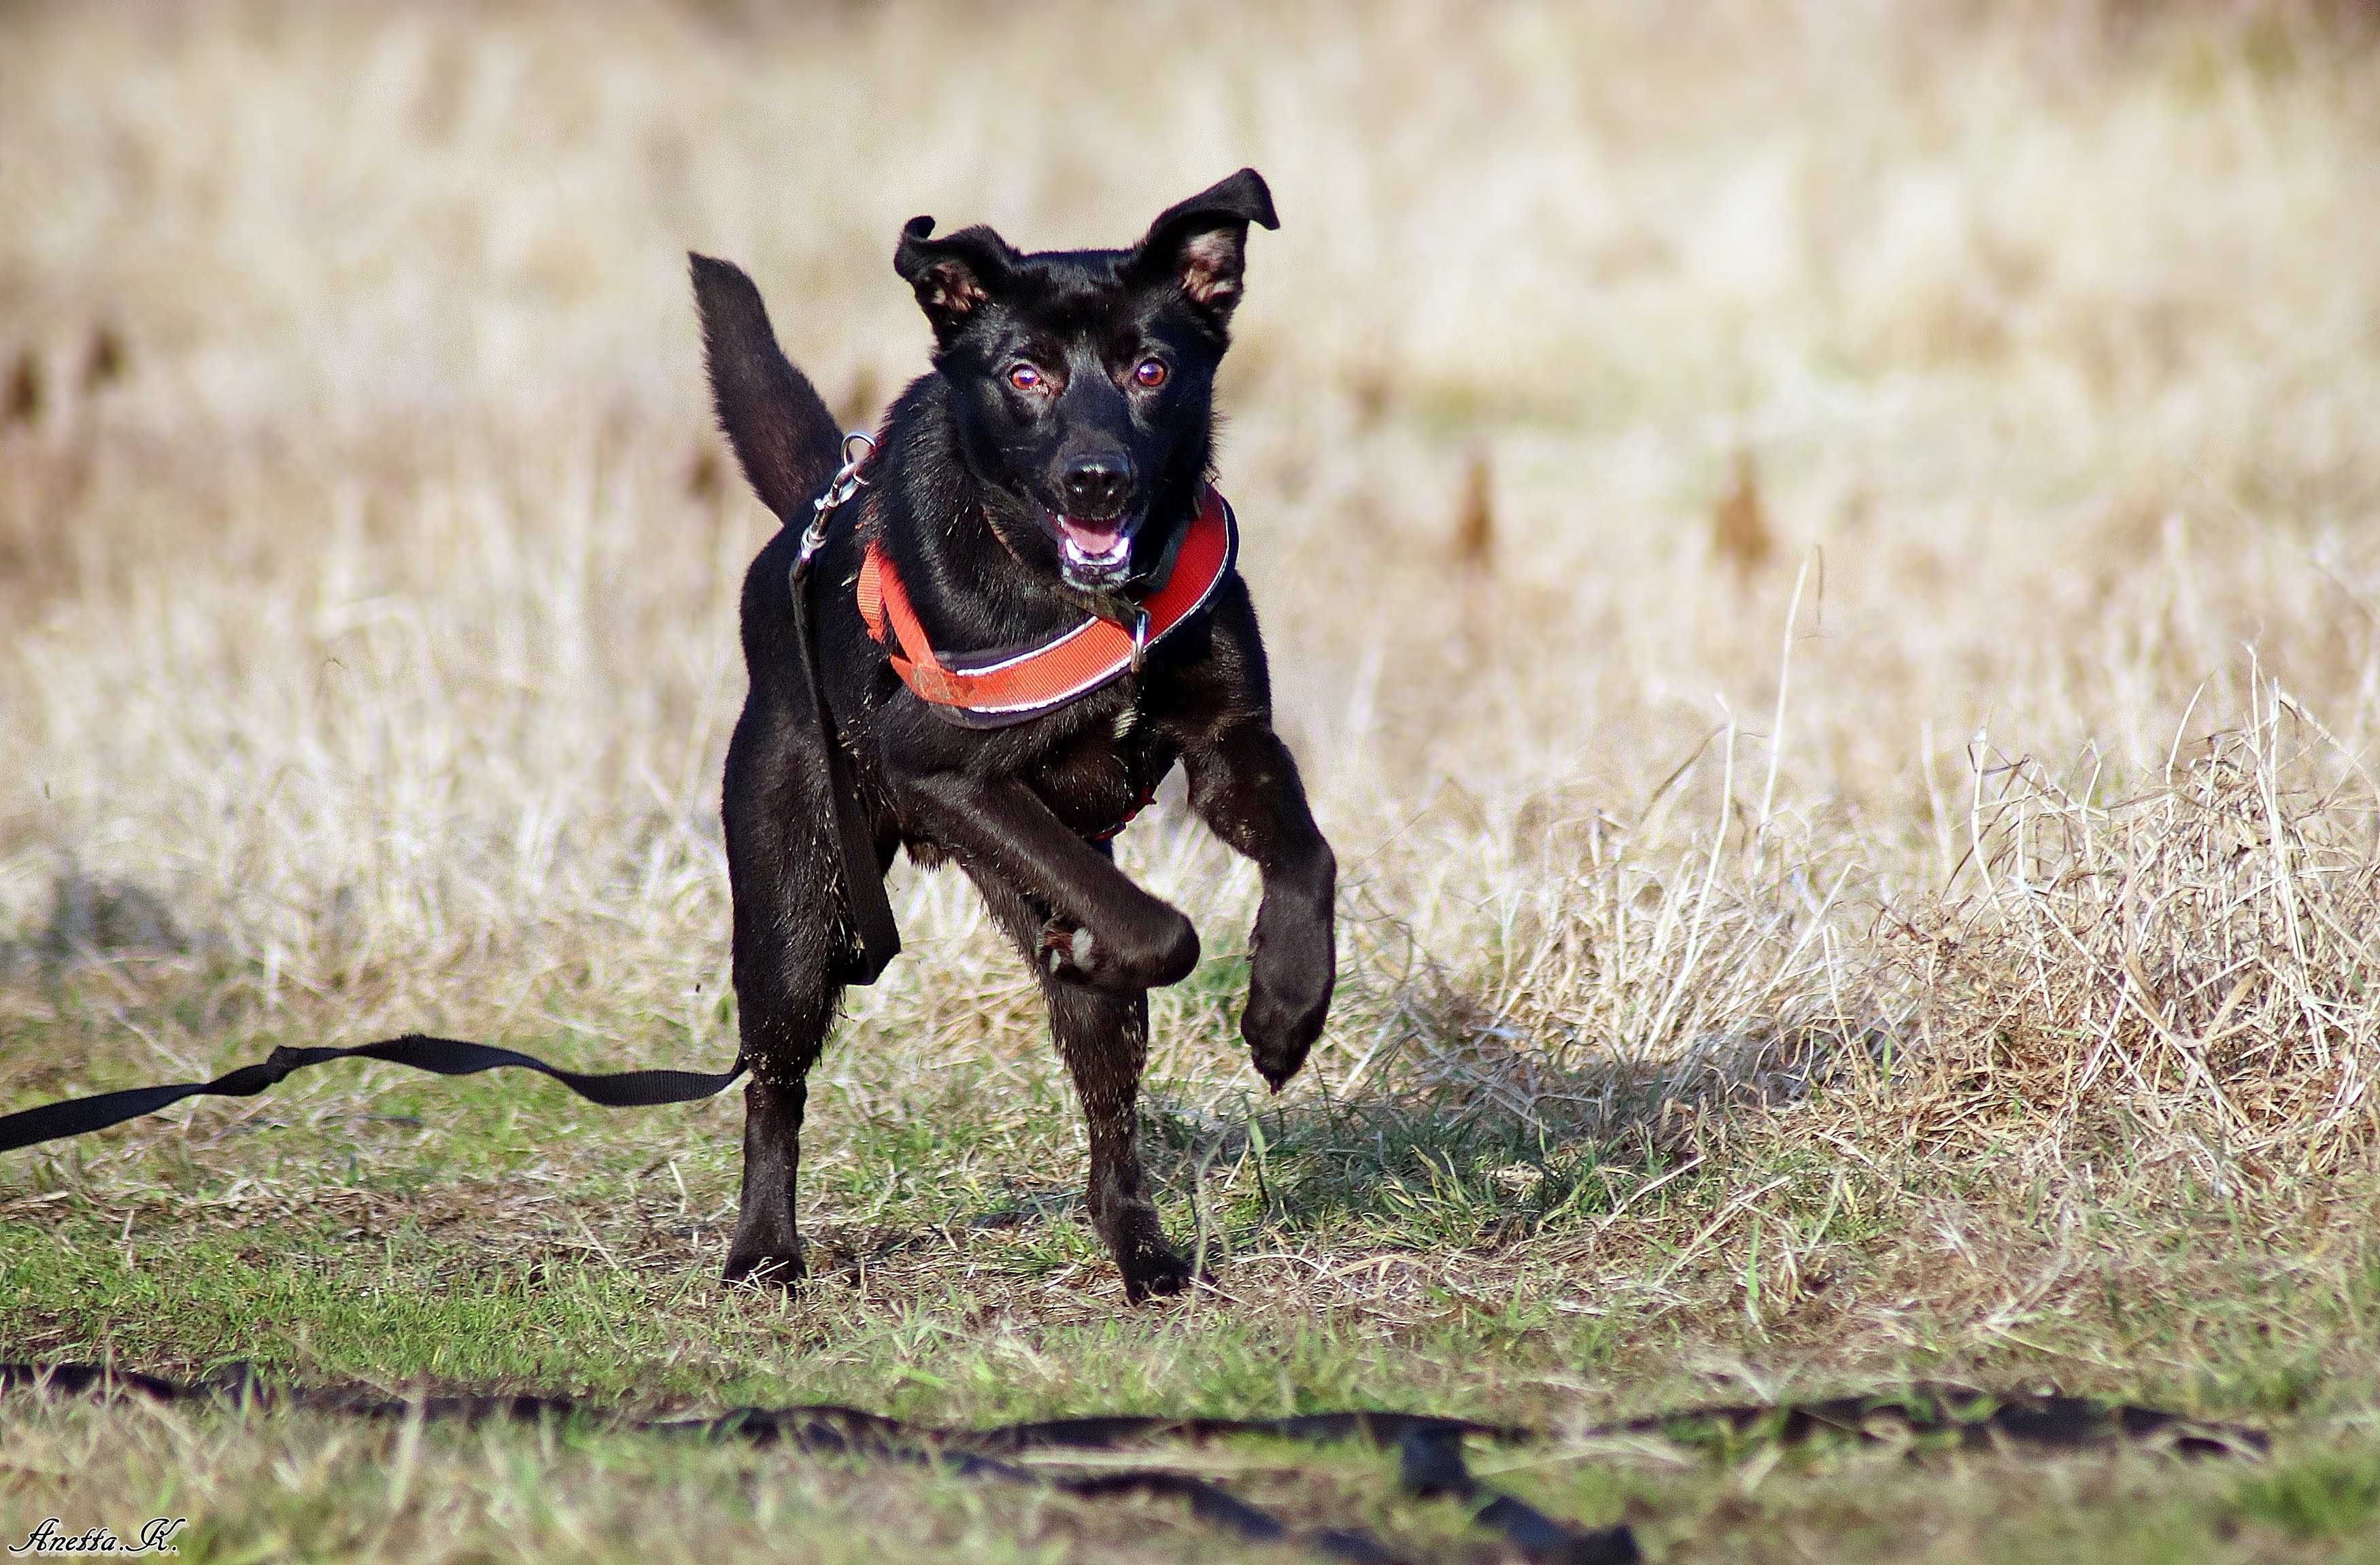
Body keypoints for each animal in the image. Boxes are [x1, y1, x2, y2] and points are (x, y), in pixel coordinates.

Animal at [690, 171, 1342, 1294]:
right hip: (794, 903)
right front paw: (1108, 945)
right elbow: (1160, 928)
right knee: (775, 1079)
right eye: (1025, 374)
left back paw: (1143, 1251)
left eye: (1150, 369)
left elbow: (1308, 858)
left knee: (1109, 1112)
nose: (1097, 480)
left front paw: (1285, 1008)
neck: (1095, 601)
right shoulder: (944, 772)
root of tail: (805, 525)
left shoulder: (1230, 743)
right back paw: (763, 1248)